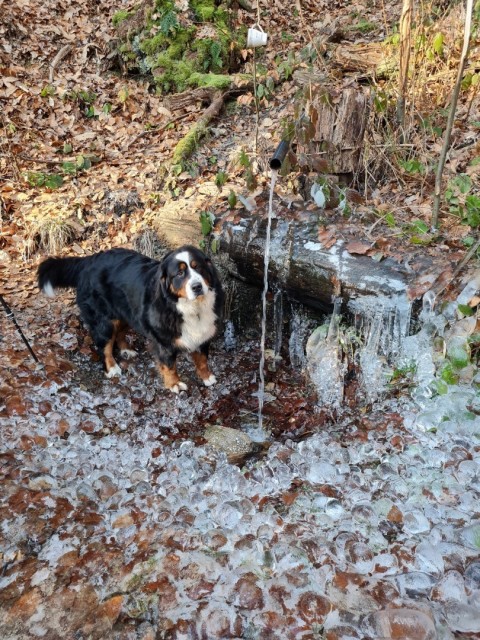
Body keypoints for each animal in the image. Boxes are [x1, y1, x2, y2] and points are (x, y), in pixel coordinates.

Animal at [38, 246, 225, 392]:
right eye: (179, 273)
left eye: (198, 268)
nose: (197, 286)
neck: (191, 308)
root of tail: (88, 260)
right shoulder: (164, 343)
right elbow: (170, 366)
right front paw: (174, 384)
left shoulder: (203, 334)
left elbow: (202, 360)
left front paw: (207, 377)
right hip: (104, 322)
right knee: (105, 346)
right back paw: (112, 368)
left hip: (127, 313)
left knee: (119, 334)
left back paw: (126, 350)